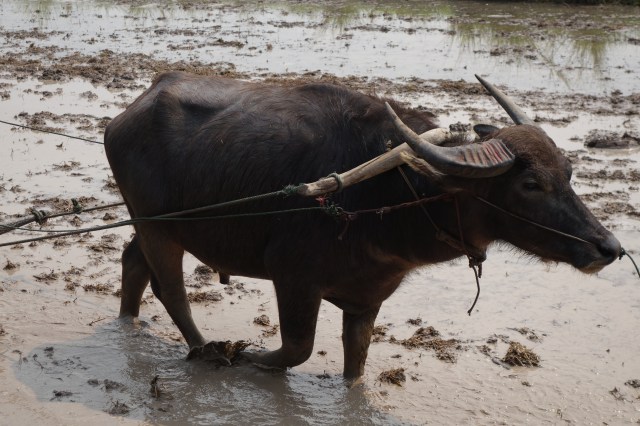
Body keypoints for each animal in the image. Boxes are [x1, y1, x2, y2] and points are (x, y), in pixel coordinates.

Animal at [104, 71, 620, 378]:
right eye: (530, 184)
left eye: (568, 173)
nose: (609, 248)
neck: (391, 192)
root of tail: (131, 111)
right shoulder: (293, 277)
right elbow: (296, 349)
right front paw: (248, 356)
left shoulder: (369, 298)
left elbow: (357, 360)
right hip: (156, 226)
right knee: (172, 290)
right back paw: (206, 349)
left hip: (157, 225)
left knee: (134, 262)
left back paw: (129, 319)